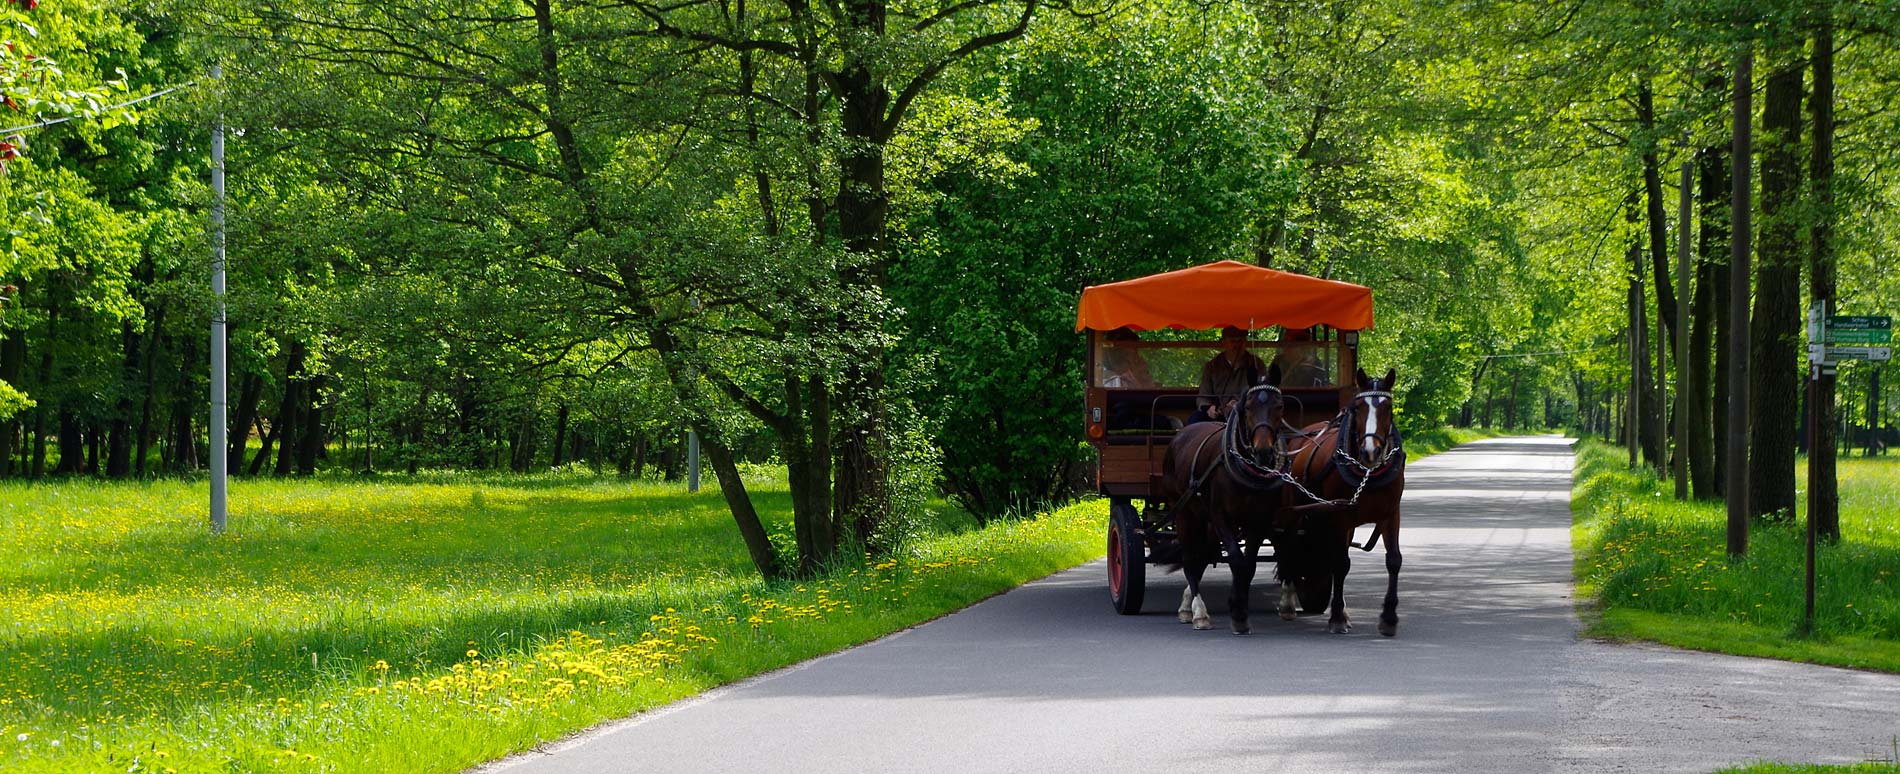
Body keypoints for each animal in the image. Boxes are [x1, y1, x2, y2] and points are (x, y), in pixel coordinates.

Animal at [1155, 368, 1292, 635]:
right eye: (1248, 407)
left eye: (1279, 406)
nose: (1263, 452)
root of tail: (1179, 436)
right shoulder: (1220, 517)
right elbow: (1237, 560)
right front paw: (1237, 611)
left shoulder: (1258, 521)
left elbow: (1248, 565)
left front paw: (1240, 611)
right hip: (1185, 513)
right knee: (1190, 559)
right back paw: (1198, 612)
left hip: (1205, 522)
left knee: (1202, 556)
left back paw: (1188, 605)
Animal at [1276, 368, 1413, 635]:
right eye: (1358, 407)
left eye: (1388, 407)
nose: (1371, 451)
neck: (1368, 472)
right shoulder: (1341, 515)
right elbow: (1341, 564)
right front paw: (1337, 617)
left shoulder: (1391, 514)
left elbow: (1394, 560)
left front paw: (1389, 618)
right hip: (1296, 511)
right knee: (1290, 545)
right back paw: (1287, 601)